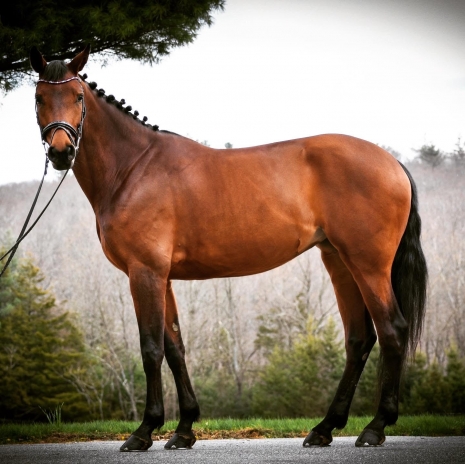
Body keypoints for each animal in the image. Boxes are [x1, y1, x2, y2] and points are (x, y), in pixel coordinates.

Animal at [30, 45, 427, 451]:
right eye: (39, 97)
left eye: (78, 97)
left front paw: (144, 431)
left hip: (369, 265)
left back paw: (375, 426)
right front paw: (184, 429)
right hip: (339, 262)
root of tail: (392, 162)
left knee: (392, 330)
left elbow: (150, 348)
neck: (133, 168)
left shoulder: (145, 272)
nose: (61, 151)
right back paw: (324, 427)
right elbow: (174, 347)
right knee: (359, 340)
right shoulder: (163, 277)